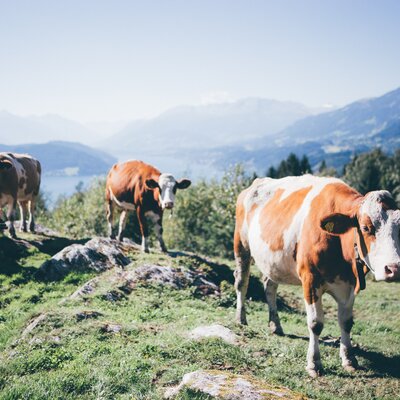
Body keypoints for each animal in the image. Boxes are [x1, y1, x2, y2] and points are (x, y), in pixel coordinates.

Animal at [234, 174, 400, 376]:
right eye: (366, 227)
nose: (394, 268)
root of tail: (255, 183)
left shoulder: (350, 285)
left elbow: (346, 322)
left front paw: (349, 359)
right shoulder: (310, 279)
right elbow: (315, 323)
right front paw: (314, 363)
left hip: (272, 261)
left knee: (270, 287)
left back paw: (276, 325)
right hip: (241, 245)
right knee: (242, 282)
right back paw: (241, 318)